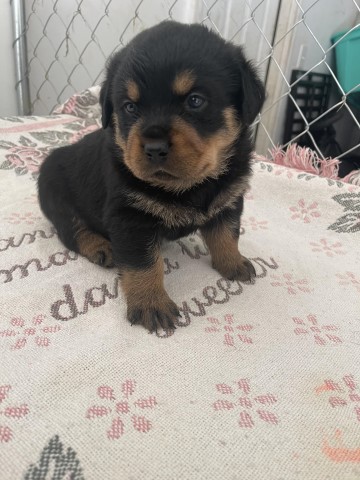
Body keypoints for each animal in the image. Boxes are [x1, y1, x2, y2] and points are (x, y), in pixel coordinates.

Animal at [38, 21, 264, 334]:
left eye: (195, 101)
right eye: (130, 107)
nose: (154, 148)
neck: (188, 186)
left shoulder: (229, 199)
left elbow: (226, 234)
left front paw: (233, 262)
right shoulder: (130, 218)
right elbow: (144, 264)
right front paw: (151, 303)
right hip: (54, 191)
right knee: (71, 230)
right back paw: (100, 247)